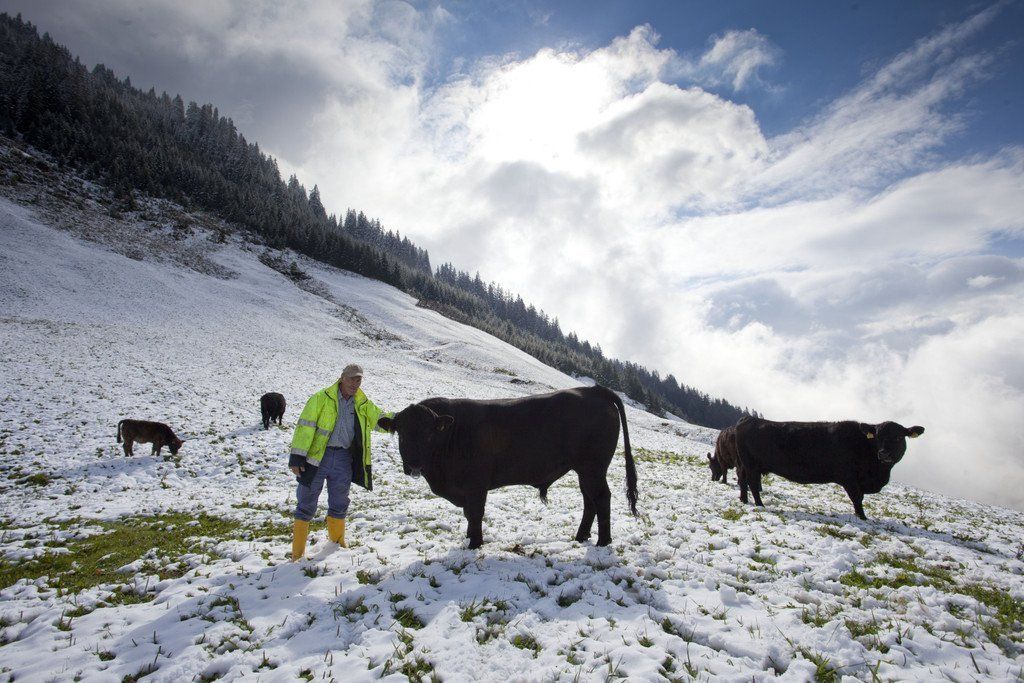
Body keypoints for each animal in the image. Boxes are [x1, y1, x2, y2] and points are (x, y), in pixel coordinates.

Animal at [376, 385, 638, 549]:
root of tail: (593, 390)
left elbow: (474, 513)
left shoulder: (476, 485)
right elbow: (469, 514)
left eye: (429, 434)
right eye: (401, 434)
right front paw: (470, 537)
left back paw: (603, 542)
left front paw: (475, 544)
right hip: (585, 470)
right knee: (589, 500)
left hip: (593, 468)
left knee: (601, 498)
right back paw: (581, 536)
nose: (413, 464)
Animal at [734, 416, 924, 520]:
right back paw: (759, 504)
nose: (884, 453)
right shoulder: (849, 478)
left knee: (742, 479)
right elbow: (857, 499)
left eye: (898, 437)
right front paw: (862, 517)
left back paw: (744, 500)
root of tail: (748, 419)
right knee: (752, 483)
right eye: (878, 437)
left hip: (745, 464)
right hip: (751, 465)